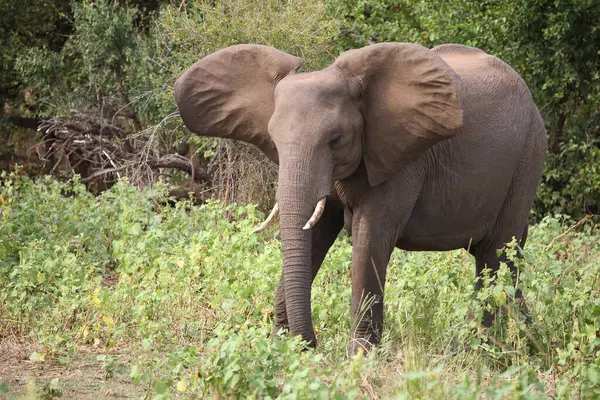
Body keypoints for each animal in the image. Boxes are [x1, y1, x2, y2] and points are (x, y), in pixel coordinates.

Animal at [173, 41, 548, 354]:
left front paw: (359, 359)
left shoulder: (401, 160)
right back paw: (525, 338)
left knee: (497, 254)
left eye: (335, 140)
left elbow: (371, 238)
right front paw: (281, 350)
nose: (310, 344)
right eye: (274, 141)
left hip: (527, 156)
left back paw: (486, 347)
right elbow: (315, 233)